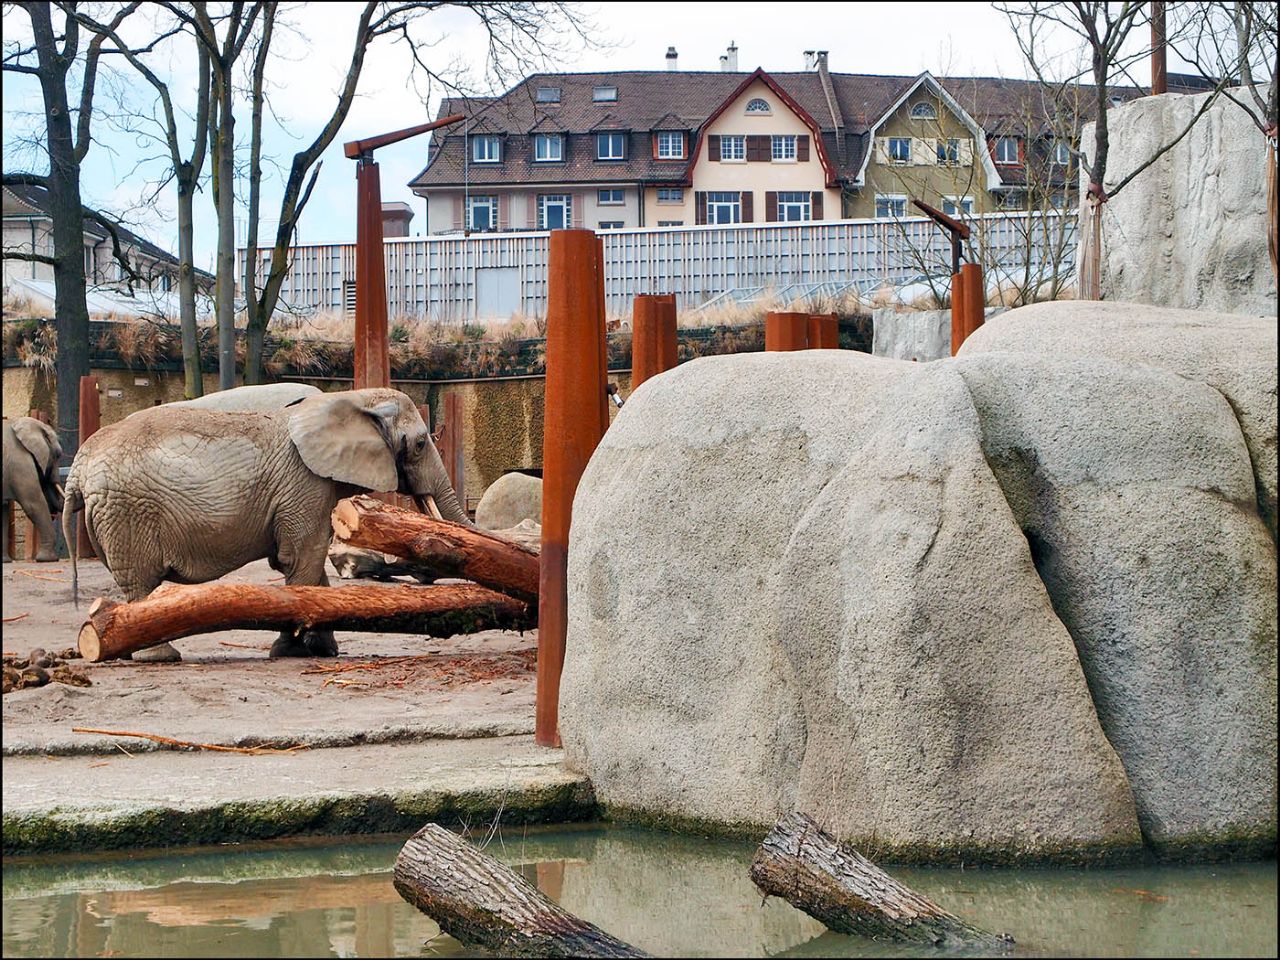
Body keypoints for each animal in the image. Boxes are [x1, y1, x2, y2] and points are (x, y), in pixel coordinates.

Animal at [2, 419, 64, 563]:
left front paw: (5, 561)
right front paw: (47, 560)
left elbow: (3, 510)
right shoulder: (19, 461)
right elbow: (33, 504)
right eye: (58, 454)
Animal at [61, 389, 471, 660]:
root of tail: (79, 466)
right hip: (129, 511)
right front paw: (289, 652)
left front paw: (322, 650)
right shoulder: (305, 484)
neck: (352, 397)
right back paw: (161, 656)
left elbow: (306, 566)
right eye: (420, 444)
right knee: (141, 582)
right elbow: (302, 562)